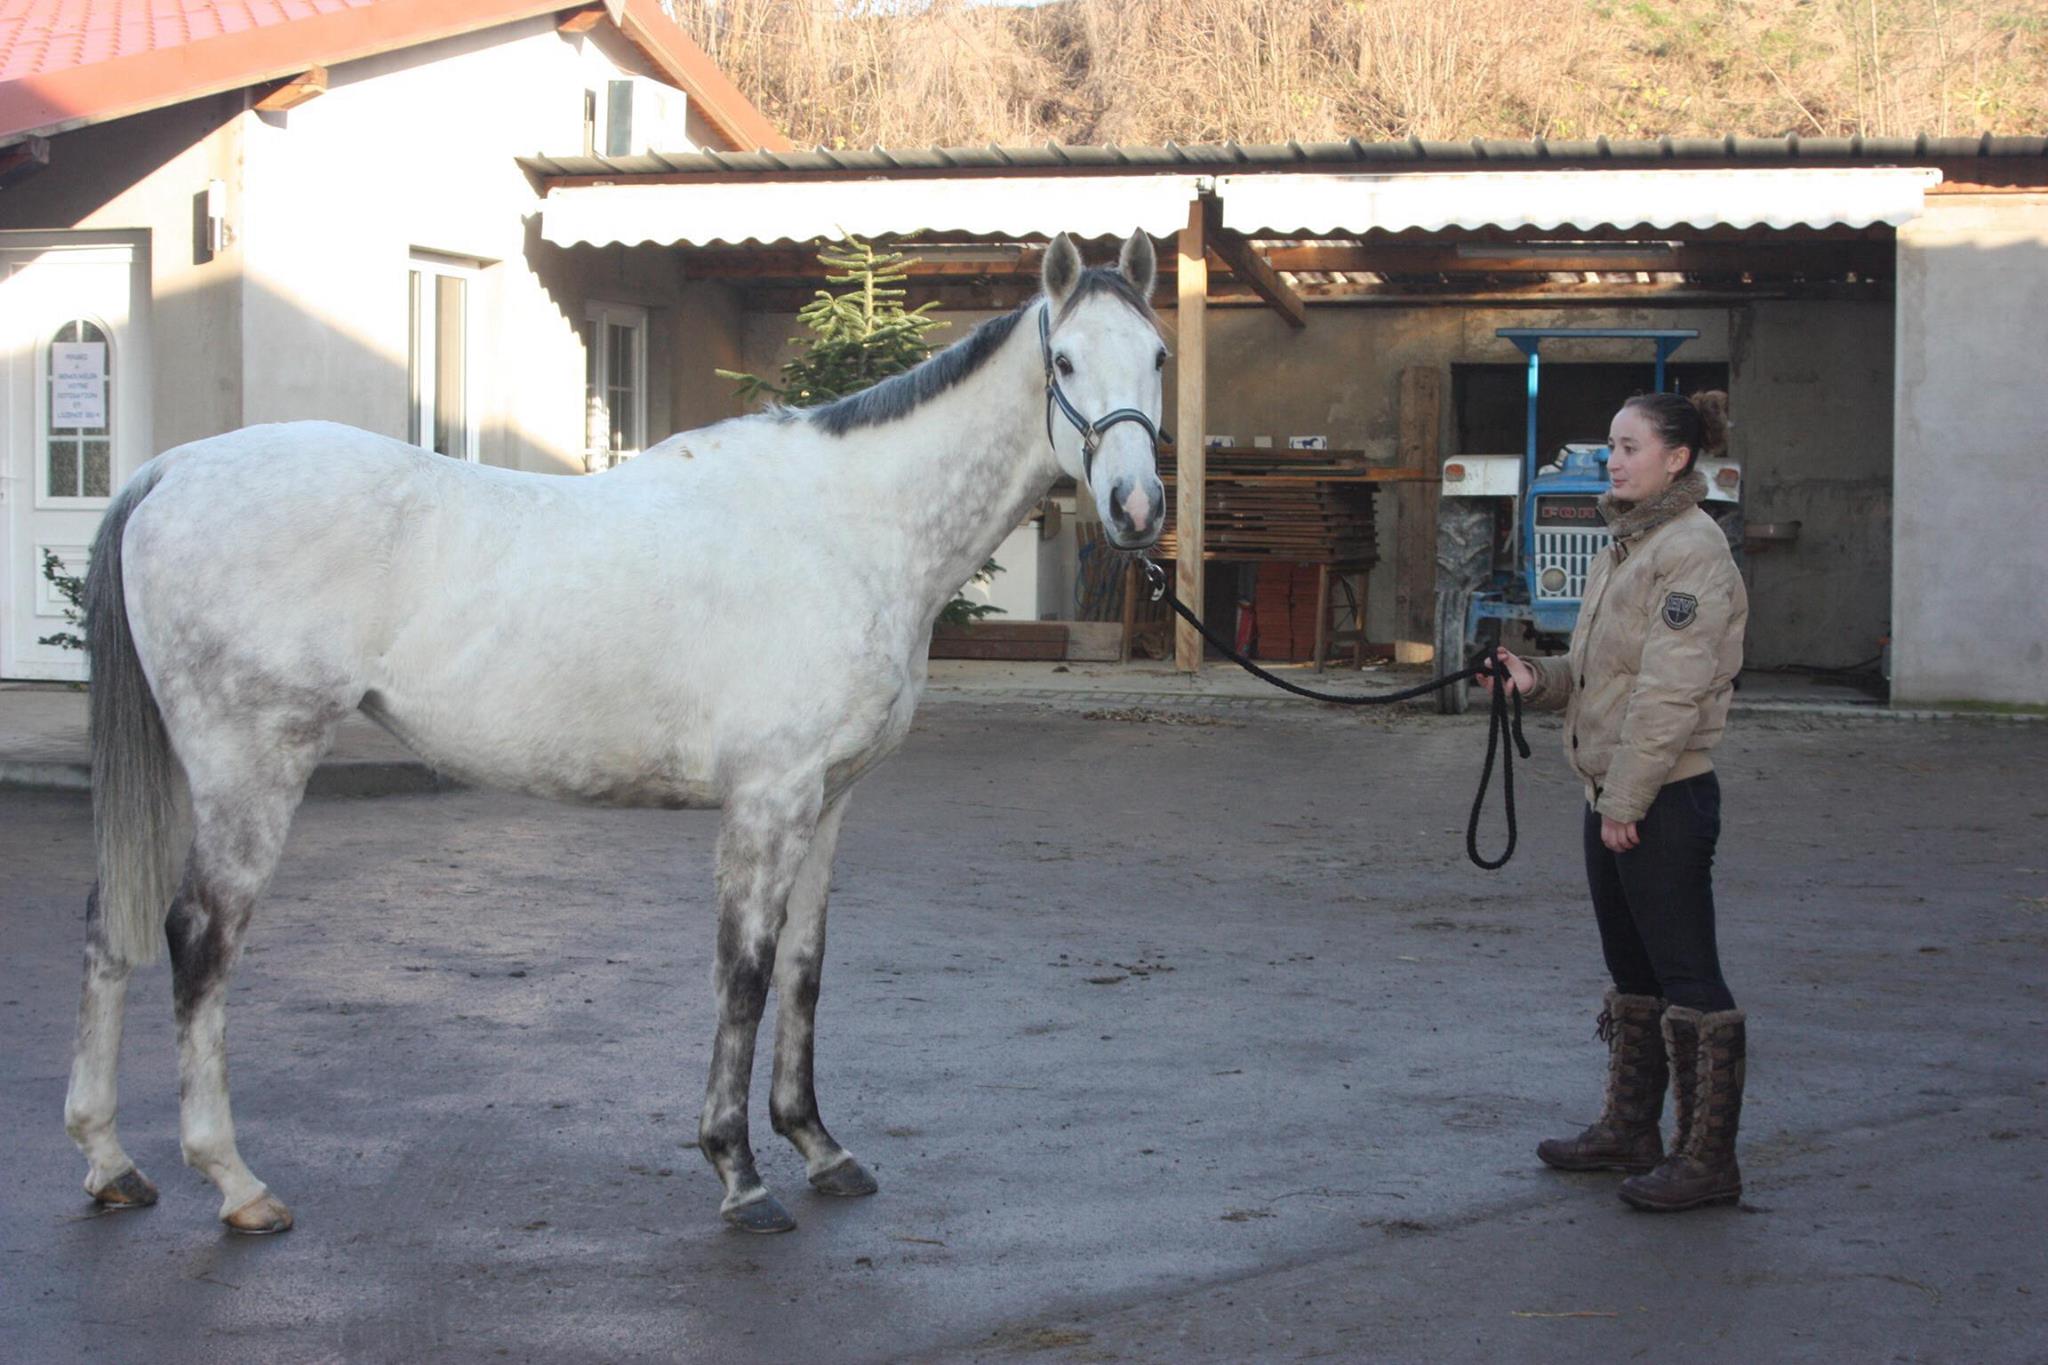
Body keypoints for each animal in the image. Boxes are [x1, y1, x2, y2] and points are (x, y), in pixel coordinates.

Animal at [68, 229, 1171, 1236]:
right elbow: (745, 971)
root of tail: (167, 472)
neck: (847, 525)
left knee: (113, 924)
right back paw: (234, 1181)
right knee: (197, 940)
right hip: (250, 767)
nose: (1135, 505)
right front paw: (738, 1171)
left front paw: (818, 1146)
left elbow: (805, 971)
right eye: (1065, 364)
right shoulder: (768, 800)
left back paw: (112, 1162)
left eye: (1157, 356)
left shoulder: (828, 801)